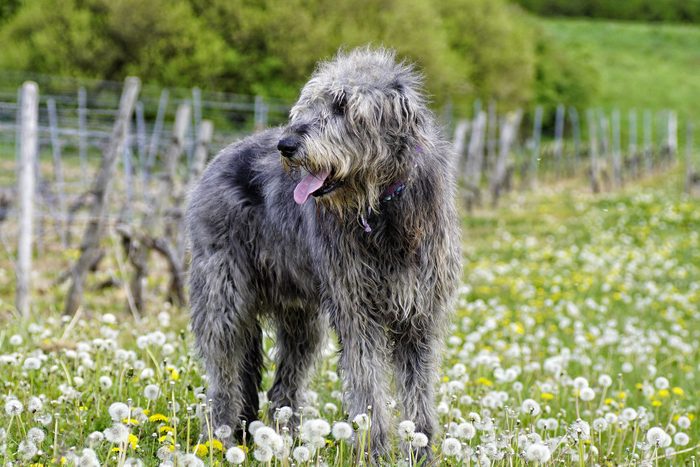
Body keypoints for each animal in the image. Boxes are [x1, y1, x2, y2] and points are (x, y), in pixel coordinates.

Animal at [186, 48, 462, 460]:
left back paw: (287, 442)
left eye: (342, 106)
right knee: (223, 377)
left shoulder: (419, 314)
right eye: (310, 102)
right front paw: (374, 452)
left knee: (283, 386)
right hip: (223, 296)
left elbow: (419, 392)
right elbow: (367, 389)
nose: (286, 145)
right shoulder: (357, 310)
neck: (382, 208)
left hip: (301, 318)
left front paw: (422, 453)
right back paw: (221, 441)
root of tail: (218, 158)